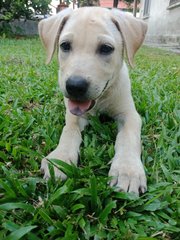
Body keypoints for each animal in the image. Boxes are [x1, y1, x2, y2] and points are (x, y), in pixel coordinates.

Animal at [38, 7, 147, 195]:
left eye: (106, 48)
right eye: (65, 46)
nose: (74, 86)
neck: (100, 100)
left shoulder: (130, 115)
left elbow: (128, 136)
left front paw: (127, 170)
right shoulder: (74, 115)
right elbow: (69, 131)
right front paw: (60, 158)